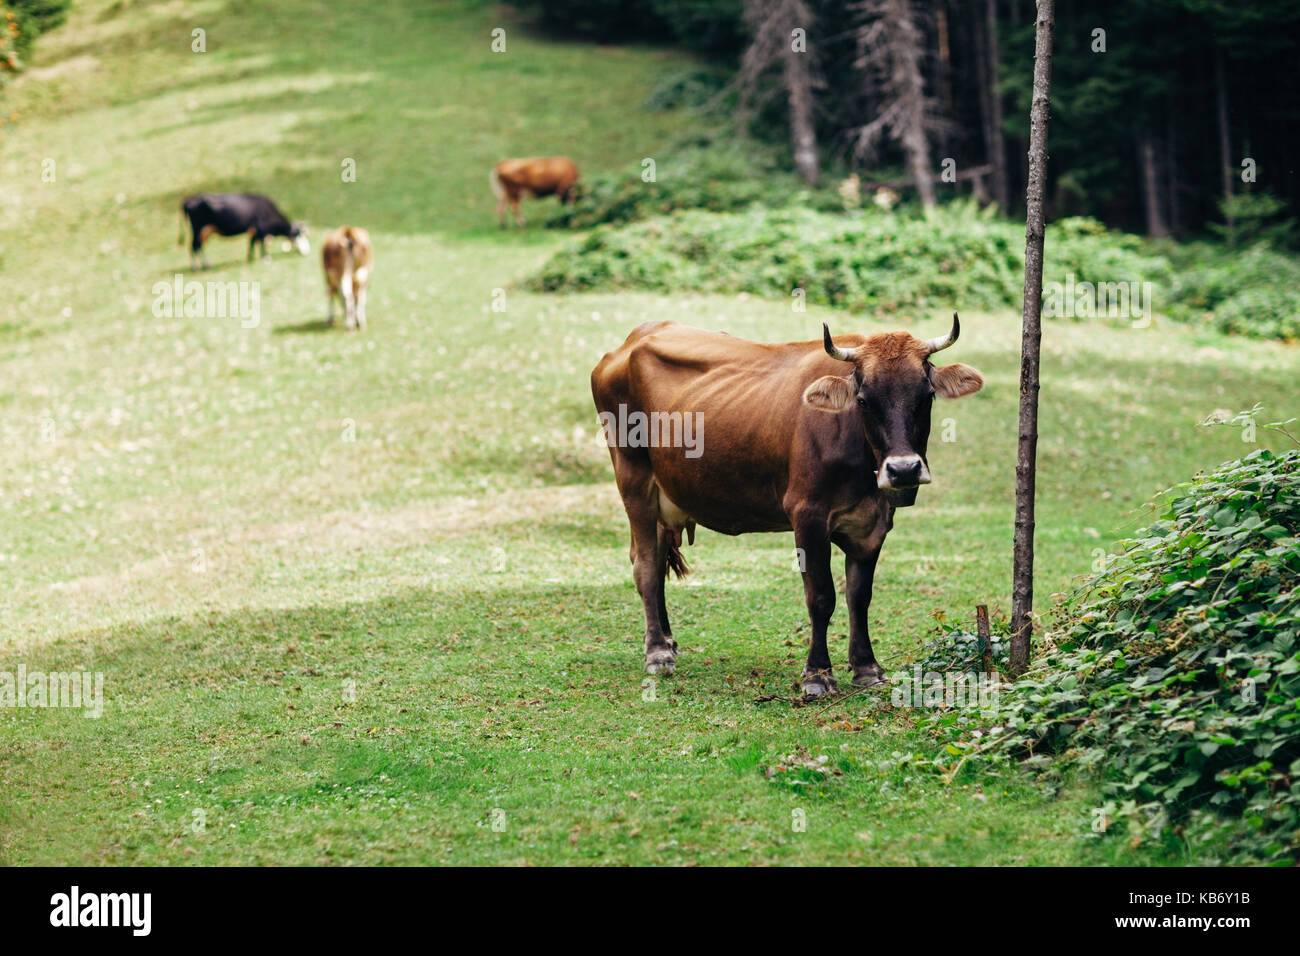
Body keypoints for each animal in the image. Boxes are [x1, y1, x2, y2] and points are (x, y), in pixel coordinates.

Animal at [178, 193, 309, 269]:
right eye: (299, 235)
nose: (307, 251)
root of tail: (188, 200)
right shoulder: (261, 228)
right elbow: (261, 243)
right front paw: (266, 258)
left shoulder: (254, 230)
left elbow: (251, 243)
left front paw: (250, 258)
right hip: (198, 229)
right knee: (194, 246)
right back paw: (198, 267)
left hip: (204, 231)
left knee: (198, 246)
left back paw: (204, 265)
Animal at [590, 315, 984, 697]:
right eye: (863, 400)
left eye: (927, 395)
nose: (903, 469)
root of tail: (632, 340)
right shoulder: (807, 515)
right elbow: (821, 596)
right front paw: (817, 675)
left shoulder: (873, 523)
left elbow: (859, 596)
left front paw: (867, 668)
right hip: (634, 480)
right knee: (645, 564)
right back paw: (657, 652)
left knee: (656, 557)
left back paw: (668, 642)